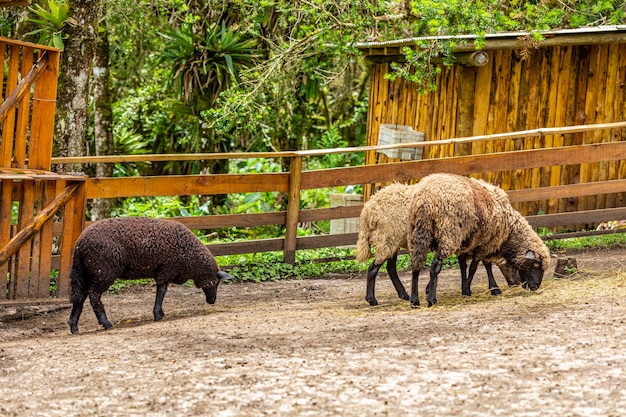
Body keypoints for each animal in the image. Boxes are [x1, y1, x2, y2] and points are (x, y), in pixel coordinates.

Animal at [68, 216, 233, 334]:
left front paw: (160, 312)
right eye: (216, 283)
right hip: (103, 271)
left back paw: (74, 327)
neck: (192, 258)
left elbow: (161, 291)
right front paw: (158, 315)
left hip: (85, 272)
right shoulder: (167, 269)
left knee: (80, 296)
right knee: (93, 295)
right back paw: (106, 323)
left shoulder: (164, 271)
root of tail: (79, 244)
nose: (212, 301)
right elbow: (162, 292)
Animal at [408, 171, 548, 306]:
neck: (510, 232)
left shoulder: (468, 244)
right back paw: (432, 300)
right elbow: (476, 267)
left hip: (419, 233)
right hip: (448, 235)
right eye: (535, 266)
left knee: (416, 264)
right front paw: (470, 289)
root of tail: (425, 200)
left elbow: (465, 266)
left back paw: (415, 300)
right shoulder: (484, 244)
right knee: (435, 266)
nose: (535, 287)